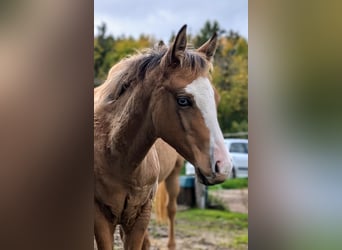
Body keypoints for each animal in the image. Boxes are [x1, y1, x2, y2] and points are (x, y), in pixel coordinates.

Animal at [94, 23, 232, 250]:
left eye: (216, 98)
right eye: (183, 100)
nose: (223, 166)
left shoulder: (140, 215)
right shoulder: (101, 216)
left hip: (173, 176)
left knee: (171, 209)